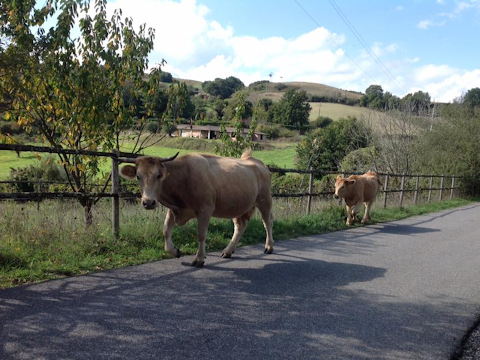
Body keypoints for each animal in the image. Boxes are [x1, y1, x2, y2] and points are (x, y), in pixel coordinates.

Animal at [120, 149, 274, 268]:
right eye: (138, 176)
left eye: (158, 175)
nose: (148, 202)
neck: (183, 177)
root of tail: (256, 161)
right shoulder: (174, 210)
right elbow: (166, 231)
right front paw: (175, 251)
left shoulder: (205, 209)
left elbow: (201, 234)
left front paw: (199, 259)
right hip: (239, 206)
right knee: (240, 226)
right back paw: (228, 251)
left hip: (265, 201)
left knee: (267, 223)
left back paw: (269, 247)